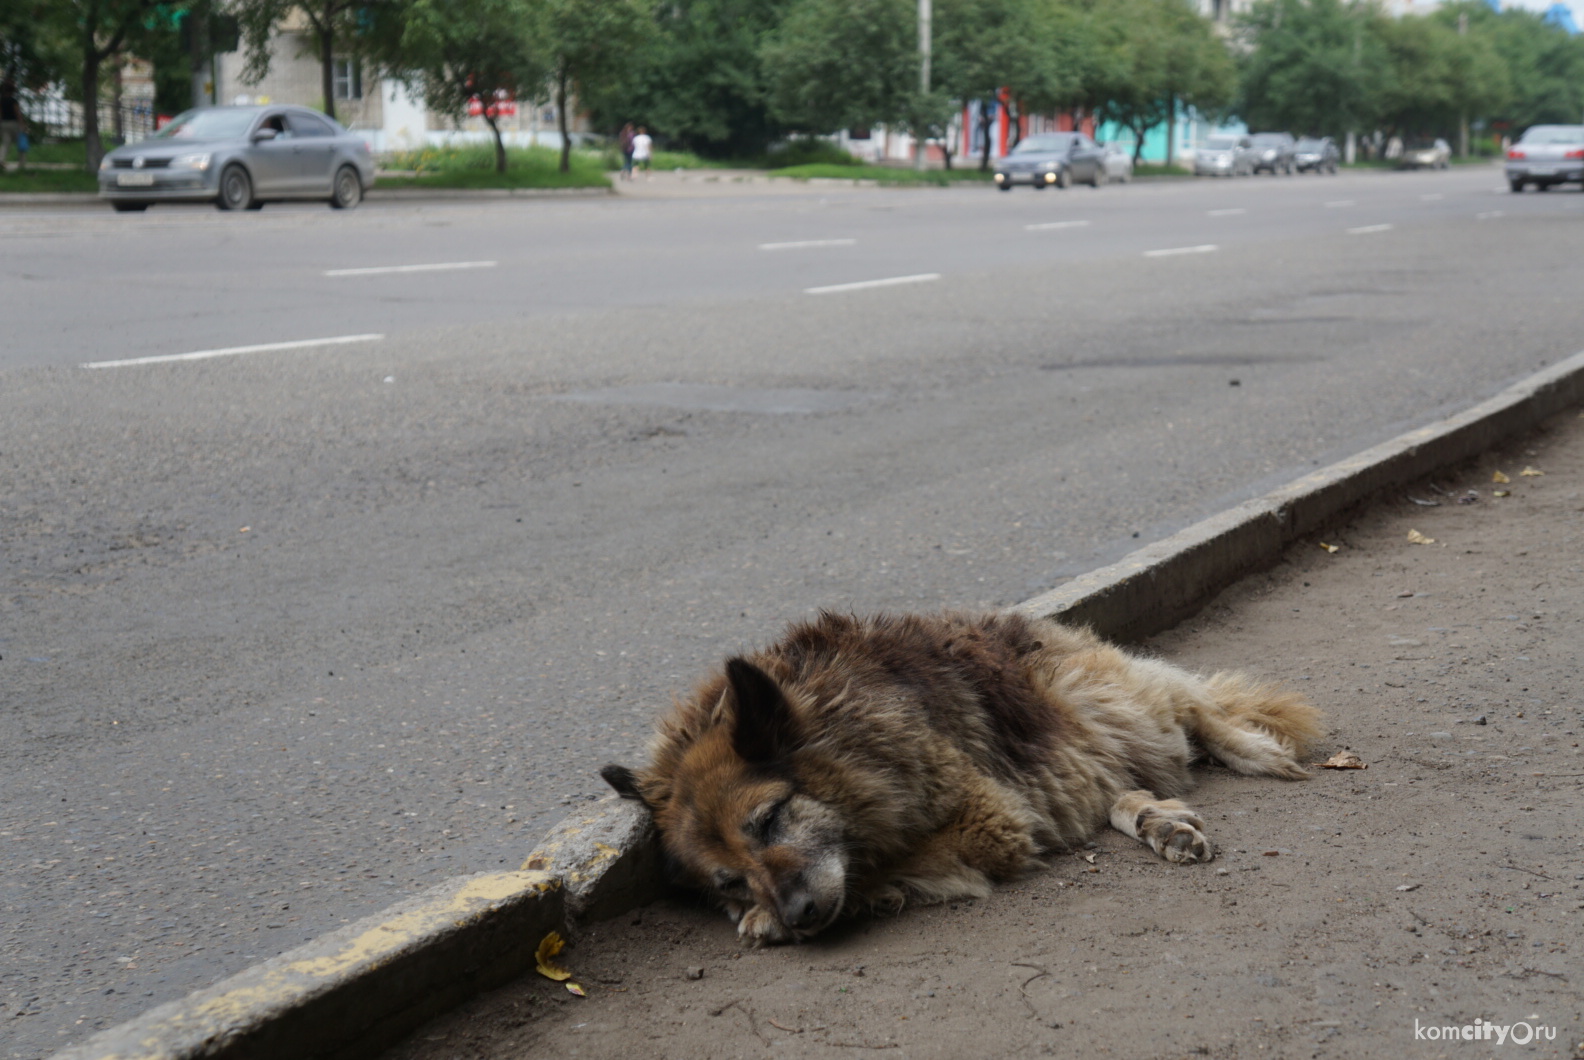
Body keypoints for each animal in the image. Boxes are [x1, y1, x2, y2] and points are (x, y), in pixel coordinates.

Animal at [598, 608, 1317, 944]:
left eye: (771, 819)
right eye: (726, 879)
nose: (799, 917)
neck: (848, 734)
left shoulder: (987, 819)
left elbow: (881, 866)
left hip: (1101, 700)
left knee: (1192, 704)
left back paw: (1250, 747)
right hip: (1073, 758)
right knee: (1113, 787)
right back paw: (1156, 819)